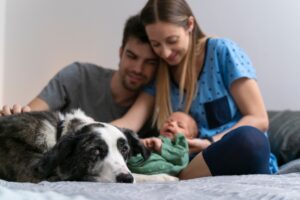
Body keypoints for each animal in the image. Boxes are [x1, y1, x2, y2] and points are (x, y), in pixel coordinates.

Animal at [0, 109, 178, 183]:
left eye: (124, 149)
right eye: (95, 151)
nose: (125, 179)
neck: (58, 133)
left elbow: (136, 175)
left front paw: (163, 177)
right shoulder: (35, 174)